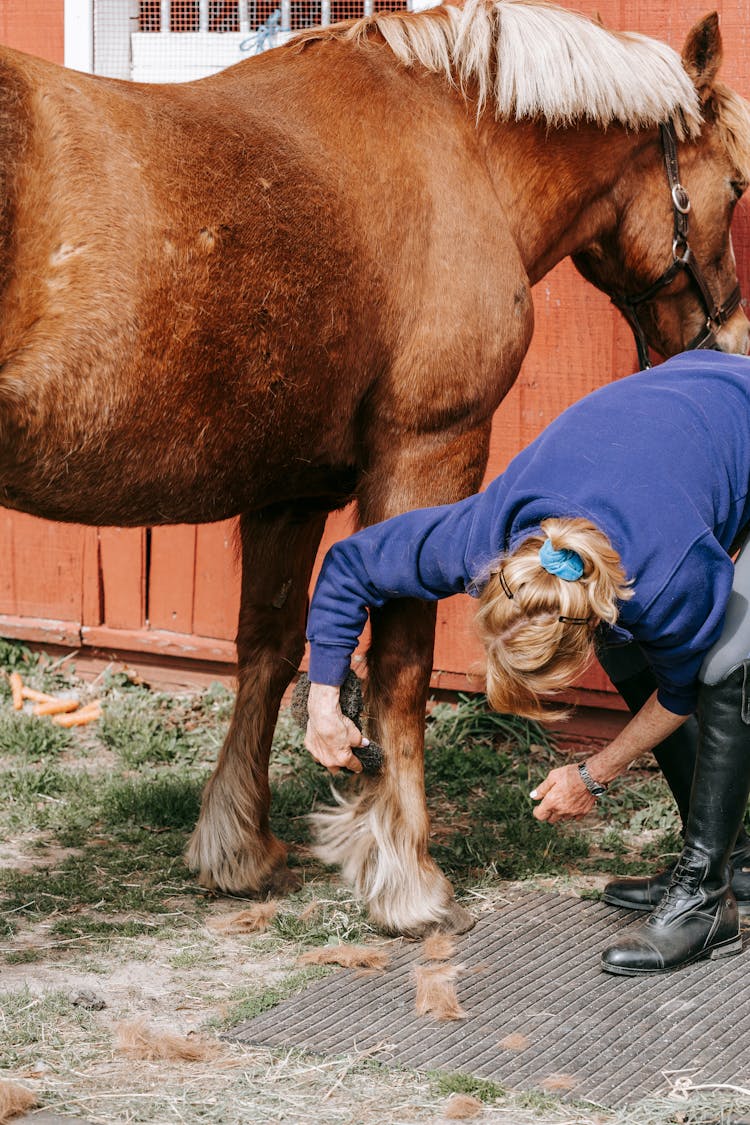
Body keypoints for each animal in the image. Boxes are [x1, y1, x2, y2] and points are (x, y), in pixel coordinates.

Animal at [1, 2, 750, 931]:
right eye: (738, 188)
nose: (730, 339)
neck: (461, 140)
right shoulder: (427, 455)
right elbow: (400, 666)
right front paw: (406, 875)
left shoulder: (292, 486)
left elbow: (271, 646)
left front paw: (238, 845)